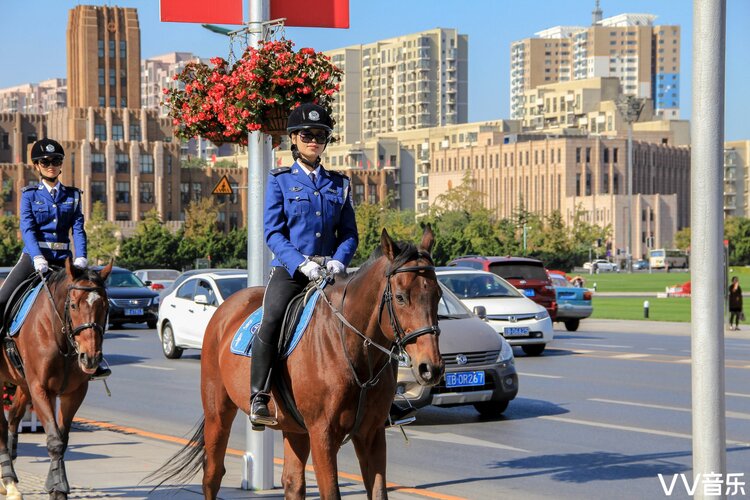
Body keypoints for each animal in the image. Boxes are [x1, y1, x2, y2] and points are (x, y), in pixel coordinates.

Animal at [0, 260, 111, 500]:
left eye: (106, 306)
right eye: (74, 306)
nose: (91, 358)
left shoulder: (74, 392)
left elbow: (62, 438)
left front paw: (55, 485)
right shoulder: (41, 389)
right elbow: (54, 439)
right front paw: (58, 487)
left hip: (21, 383)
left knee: (13, 418)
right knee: (2, 425)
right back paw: (9, 481)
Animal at [153, 228, 446, 500]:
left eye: (438, 294)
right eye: (400, 297)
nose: (430, 367)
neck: (351, 348)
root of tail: (225, 308)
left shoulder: (371, 435)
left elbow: (378, 492)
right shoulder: (322, 434)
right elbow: (331, 492)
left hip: (294, 428)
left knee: (293, 483)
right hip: (218, 411)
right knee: (212, 475)